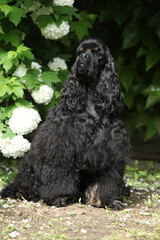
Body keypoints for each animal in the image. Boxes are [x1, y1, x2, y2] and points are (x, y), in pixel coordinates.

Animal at [0, 38, 130, 209]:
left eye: (98, 54)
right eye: (80, 52)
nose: (83, 58)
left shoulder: (109, 150)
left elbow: (107, 179)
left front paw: (108, 200)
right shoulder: (62, 146)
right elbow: (60, 174)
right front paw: (61, 197)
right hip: (30, 168)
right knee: (24, 183)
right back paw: (19, 191)